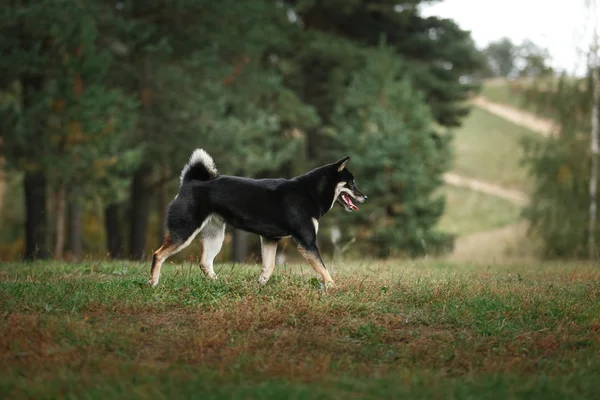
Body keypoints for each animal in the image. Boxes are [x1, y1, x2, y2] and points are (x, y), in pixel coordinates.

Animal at [150, 148, 366, 286]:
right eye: (351, 183)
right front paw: (333, 287)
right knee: (158, 254)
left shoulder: (270, 238)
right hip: (184, 231)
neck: (309, 192)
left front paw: (259, 285)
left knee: (205, 263)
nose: (365, 197)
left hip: (215, 236)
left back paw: (218, 284)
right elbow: (323, 268)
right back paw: (153, 283)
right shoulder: (306, 242)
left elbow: (269, 267)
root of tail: (189, 182)